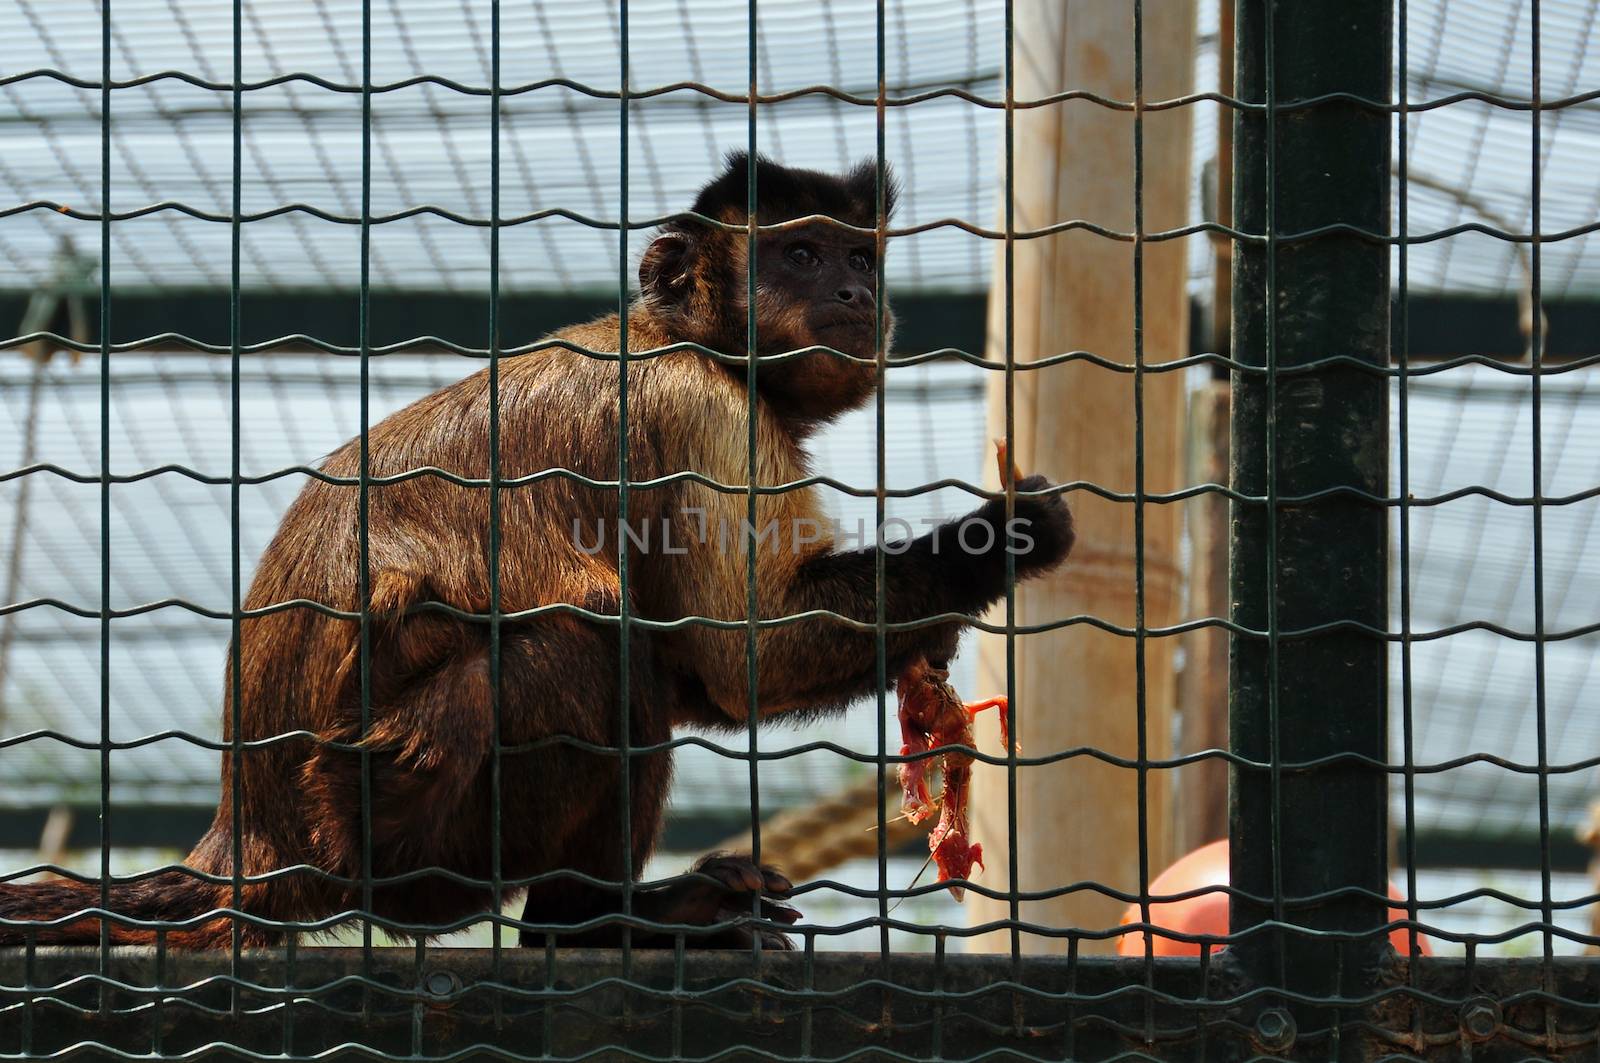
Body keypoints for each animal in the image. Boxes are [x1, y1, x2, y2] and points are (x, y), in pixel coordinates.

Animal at [3, 153, 1075, 947]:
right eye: (800, 254)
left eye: (859, 255)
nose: (854, 287)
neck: (682, 337)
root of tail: (251, 840)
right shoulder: (699, 409)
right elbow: (744, 658)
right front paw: (1002, 540)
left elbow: (706, 667)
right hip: (385, 819)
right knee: (593, 646)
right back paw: (594, 923)